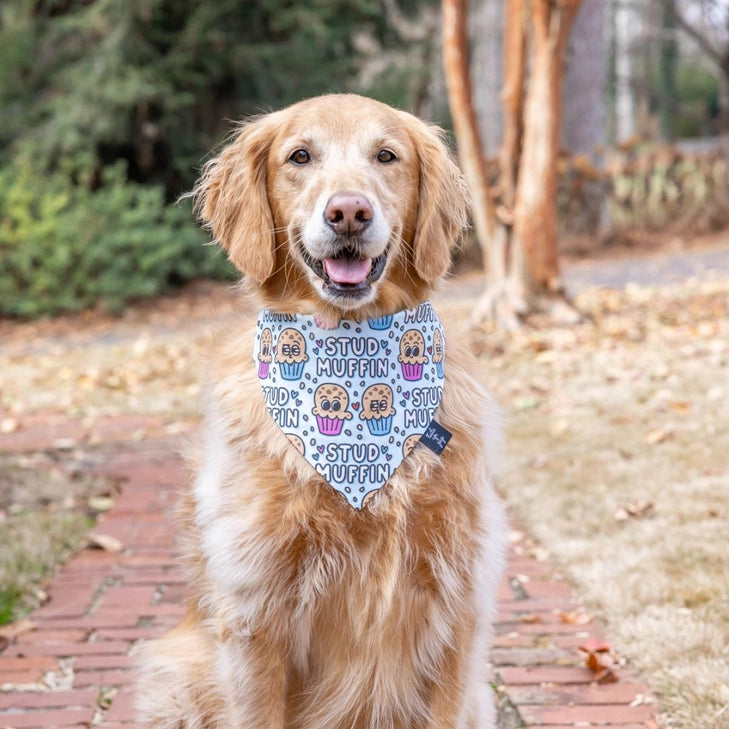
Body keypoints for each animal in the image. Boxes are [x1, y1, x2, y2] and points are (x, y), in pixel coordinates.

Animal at [134, 94, 504, 728]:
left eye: (387, 156)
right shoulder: (255, 618)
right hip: (176, 682)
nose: (348, 212)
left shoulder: (457, 607)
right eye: (300, 157)